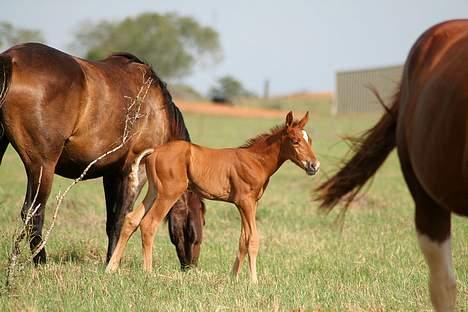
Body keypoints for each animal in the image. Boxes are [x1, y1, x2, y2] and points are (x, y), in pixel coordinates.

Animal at [0, 42, 205, 268]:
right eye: (194, 233)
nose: (190, 267)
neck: (156, 109)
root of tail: (10, 59)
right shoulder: (136, 170)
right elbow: (122, 218)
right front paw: (113, 263)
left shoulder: (111, 173)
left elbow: (111, 221)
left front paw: (111, 259)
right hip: (42, 166)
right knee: (33, 212)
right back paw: (40, 262)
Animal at [106, 111, 320, 282]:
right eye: (295, 141)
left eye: (310, 140)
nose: (314, 165)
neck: (255, 161)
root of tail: (155, 151)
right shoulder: (246, 202)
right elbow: (252, 239)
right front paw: (254, 281)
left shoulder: (248, 204)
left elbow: (242, 240)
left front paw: (233, 278)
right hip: (169, 193)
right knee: (149, 223)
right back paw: (148, 272)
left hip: (154, 191)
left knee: (131, 219)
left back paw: (111, 268)